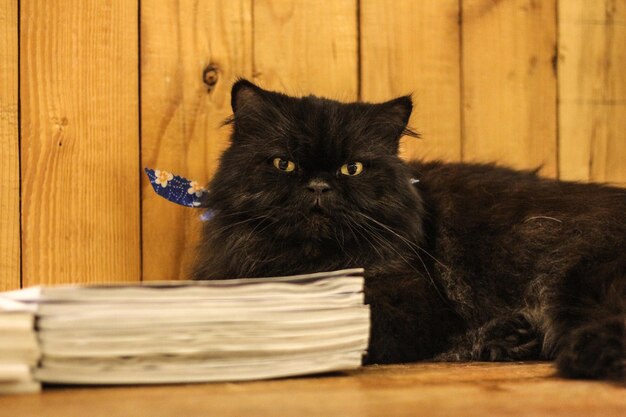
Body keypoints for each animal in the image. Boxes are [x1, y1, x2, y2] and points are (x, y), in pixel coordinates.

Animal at [191, 79, 624, 380]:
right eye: (285, 164)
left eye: (352, 168)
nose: (318, 186)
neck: (311, 262)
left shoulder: (411, 299)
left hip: (579, 274)